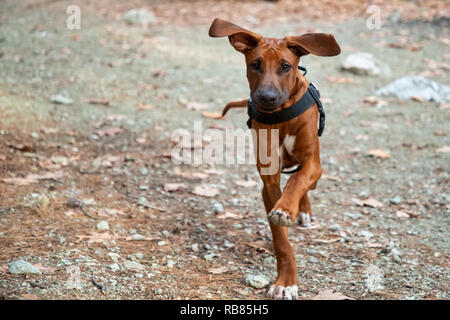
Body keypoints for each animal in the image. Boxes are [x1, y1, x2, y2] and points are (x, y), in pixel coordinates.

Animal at [209, 18, 340, 300]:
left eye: (285, 66)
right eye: (255, 64)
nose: (267, 98)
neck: (282, 115)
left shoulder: (313, 163)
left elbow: (298, 181)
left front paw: (287, 208)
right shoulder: (269, 182)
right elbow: (281, 241)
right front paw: (286, 282)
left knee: (305, 182)